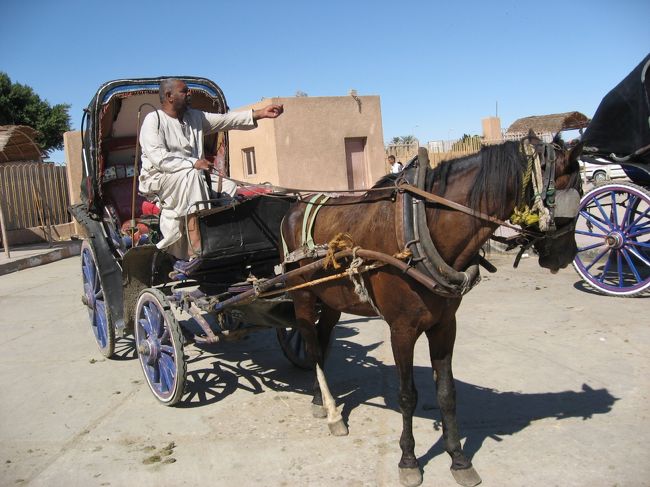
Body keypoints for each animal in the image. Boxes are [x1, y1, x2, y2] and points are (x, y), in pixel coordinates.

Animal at [280, 135, 583, 487]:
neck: (420, 227)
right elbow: (407, 395)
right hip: (301, 294)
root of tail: (293, 208)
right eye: (575, 192)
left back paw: (318, 397)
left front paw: (459, 460)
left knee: (323, 338)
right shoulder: (402, 330)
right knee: (312, 346)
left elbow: (447, 393)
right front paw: (409, 460)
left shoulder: (445, 325)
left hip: (331, 300)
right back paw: (331, 413)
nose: (567, 255)